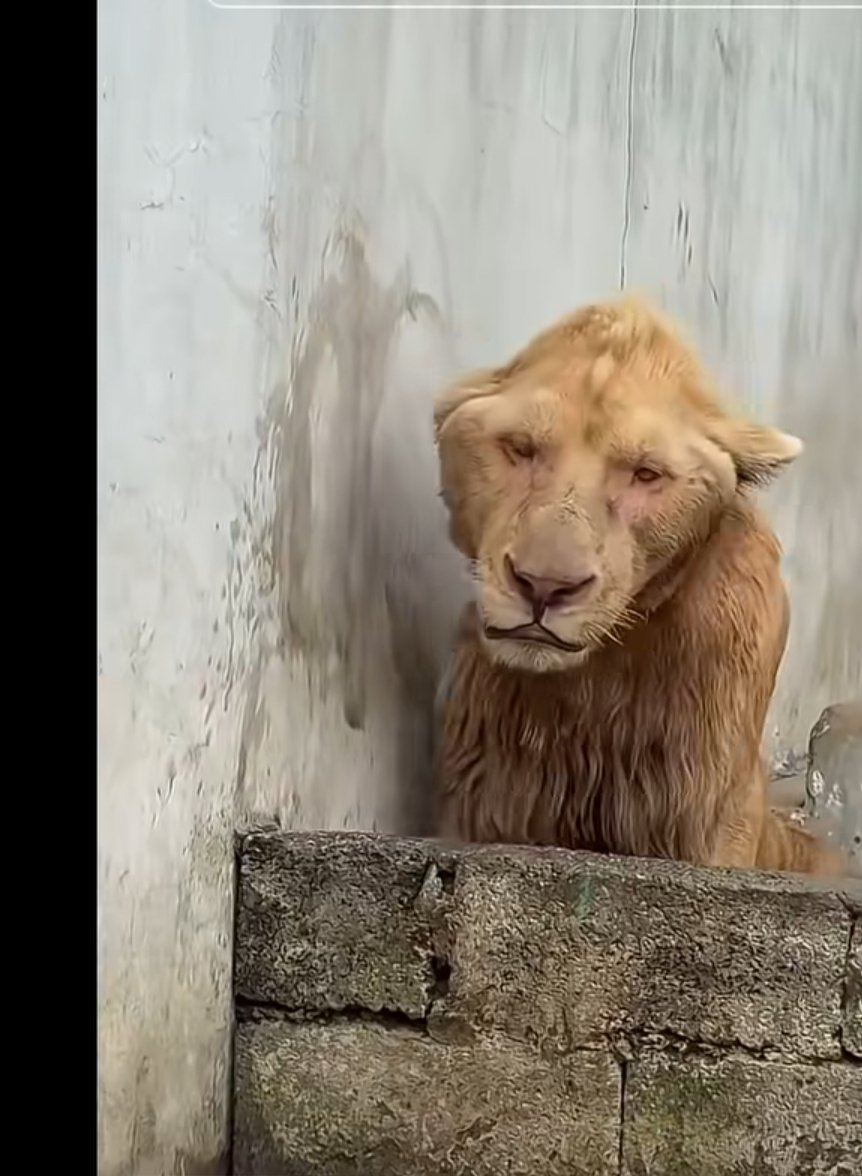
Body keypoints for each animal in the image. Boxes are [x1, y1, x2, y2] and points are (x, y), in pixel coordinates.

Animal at [433, 297, 848, 877]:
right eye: (520, 447)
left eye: (646, 474)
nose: (545, 587)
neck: (594, 679)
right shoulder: (487, 794)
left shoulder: (704, 810)